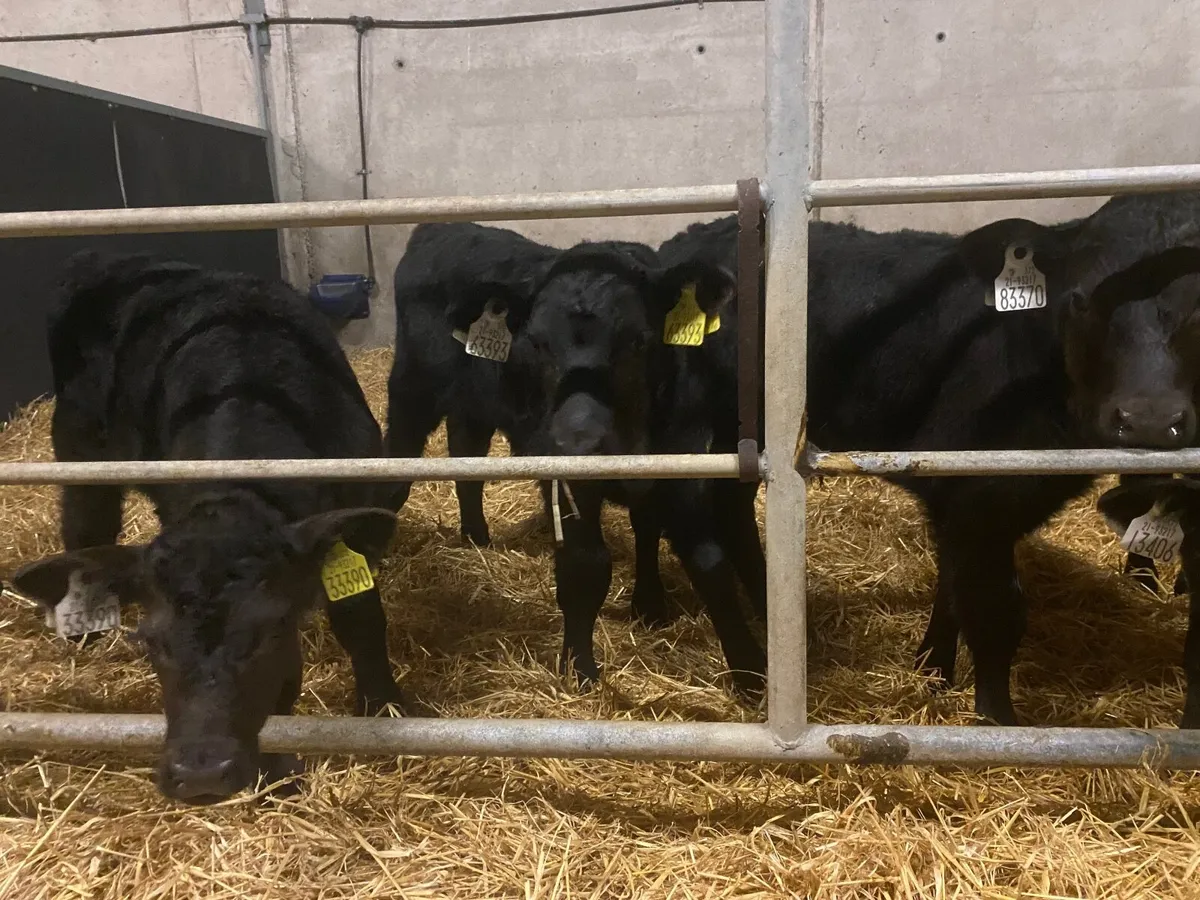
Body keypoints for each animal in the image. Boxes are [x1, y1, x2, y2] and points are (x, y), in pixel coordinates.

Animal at [10, 250, 408, 804]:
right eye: (151, 642)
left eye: (269, 633)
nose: (200, 773)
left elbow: (361, 621)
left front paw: (383, 706)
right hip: (78, 444)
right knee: (86, 522)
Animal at [385, 223, 766, 696]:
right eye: (535, 343)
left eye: (638, 341)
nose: (576, 443)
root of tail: (442, 228)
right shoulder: (568, 481)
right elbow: (585, 566)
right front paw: (580, 668)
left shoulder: (686, 458)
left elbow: (708, 561)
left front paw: (750, 671)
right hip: (412, 390)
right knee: (396, 470)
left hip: (473, 404)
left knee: (467, 459)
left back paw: (476, 538)